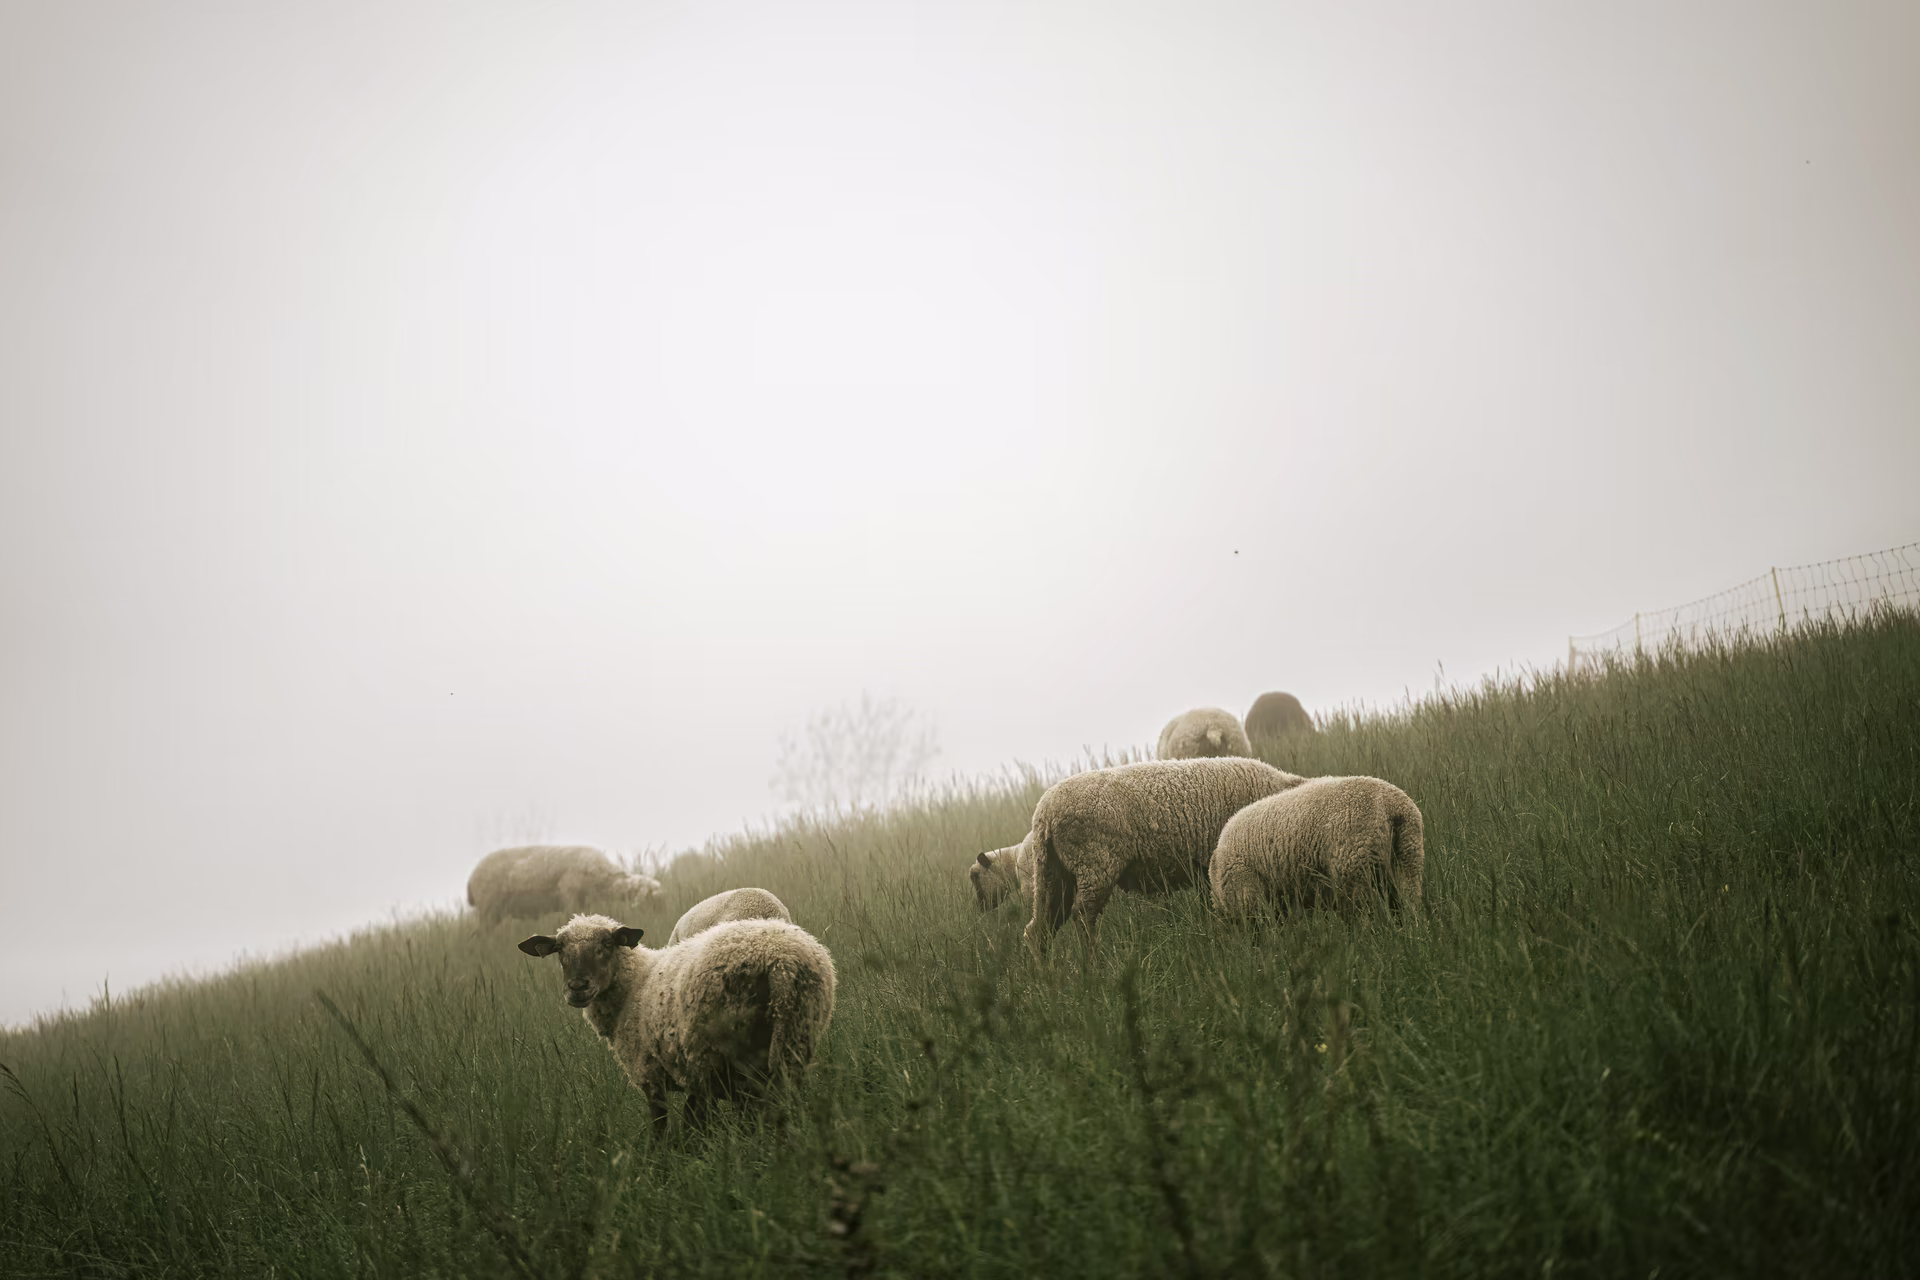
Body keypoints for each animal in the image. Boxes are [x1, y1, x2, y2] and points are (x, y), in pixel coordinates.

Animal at [467, 845, 661, 926]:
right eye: (649, 899)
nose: (658, 915)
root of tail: (471, 879)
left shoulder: (584, 900)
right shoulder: (569, 894)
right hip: (488, 909)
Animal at [519, 913, 836, 1130]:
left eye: (607, 944)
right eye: (560, 949)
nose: (577, 987)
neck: (634, 986)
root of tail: (781, 962)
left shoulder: (651, 1074)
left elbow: (663, 1131)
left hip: (727, 1054)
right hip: (795, 1037)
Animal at [1024, 757, 1305, 956]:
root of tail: (1043, 812)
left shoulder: (1206, 871)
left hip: (1053, 873)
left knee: (1039, 929)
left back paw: (1046, 980)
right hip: (1095, 865)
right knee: (1082, 916)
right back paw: (1095, 966)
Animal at [1210, 775, 1424, 919]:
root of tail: (1391, 806)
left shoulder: (1247, 890)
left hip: (1356, 868)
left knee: (1365, 915)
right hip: (1408, 859)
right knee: (1409, 902)